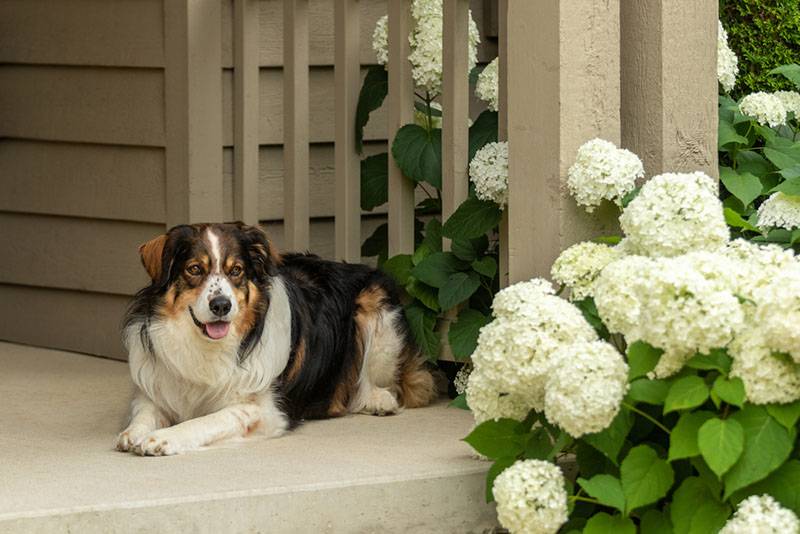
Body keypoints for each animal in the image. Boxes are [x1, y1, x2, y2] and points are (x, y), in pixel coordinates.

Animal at [115, 222, 434, 456]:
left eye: (236, 271)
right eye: (194, 269)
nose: (221, 305)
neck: (208, 346)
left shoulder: (264, 412)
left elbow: (207, 420)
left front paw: (163, 438)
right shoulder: (154, 388)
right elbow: (143, 412)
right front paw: (134, 433)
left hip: (376, 307)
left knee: (388, 385)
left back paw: (378, 400)